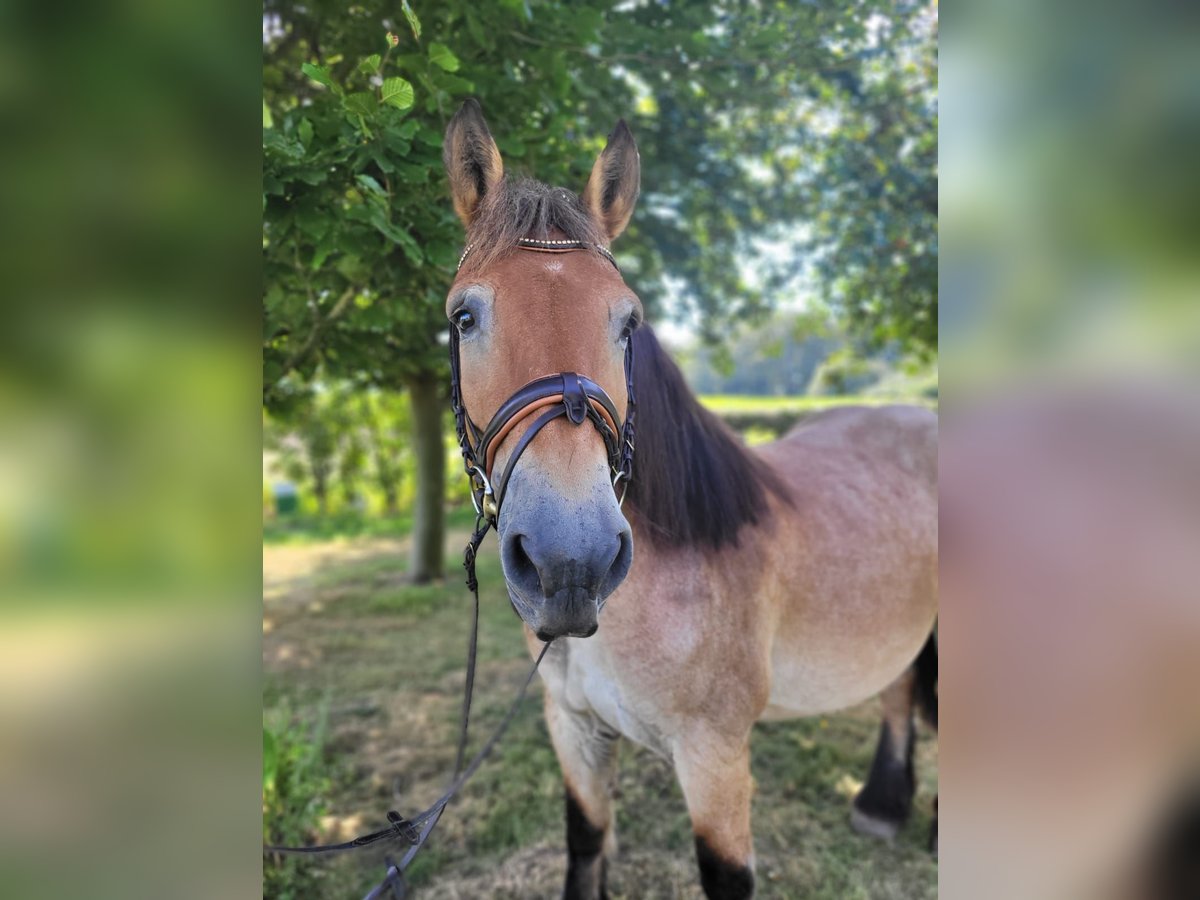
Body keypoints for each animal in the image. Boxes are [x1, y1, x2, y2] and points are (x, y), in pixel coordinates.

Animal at [441, 98, 936, 900]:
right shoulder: (574, 730)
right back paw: (883, 805)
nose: (570, 564)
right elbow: (586, 844)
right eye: (465, 317)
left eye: (628, 321)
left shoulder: (715, 758)